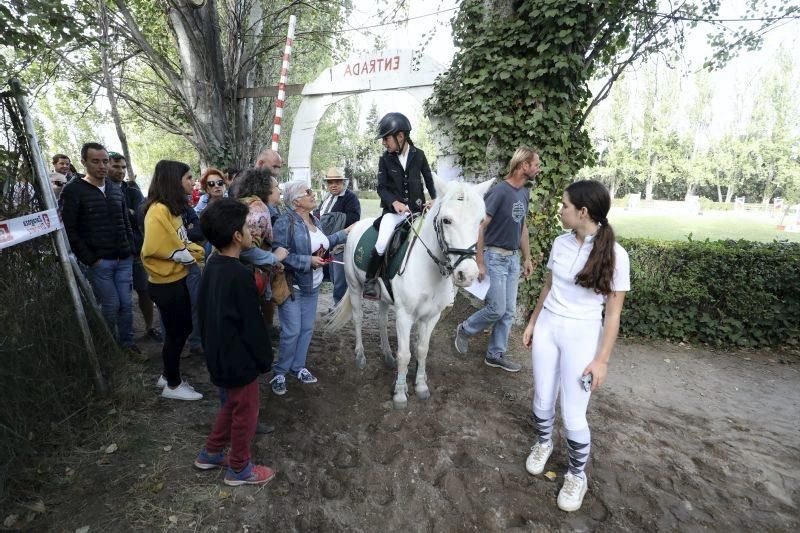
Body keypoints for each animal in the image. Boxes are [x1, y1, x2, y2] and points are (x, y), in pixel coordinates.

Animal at [326, 175, 490, 408]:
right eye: (446, 220)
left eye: (480, 221)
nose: (467, 274)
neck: (428, 268)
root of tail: (356, 226)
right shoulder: (405, 315)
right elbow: (405, 354)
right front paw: (400, 393)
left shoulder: (431, 316)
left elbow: (422, 349)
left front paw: (421, 385)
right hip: (355, 286)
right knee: (358, 318)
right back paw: (360, 356)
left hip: (384, 297)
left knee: (381, 321)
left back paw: (387, 355)